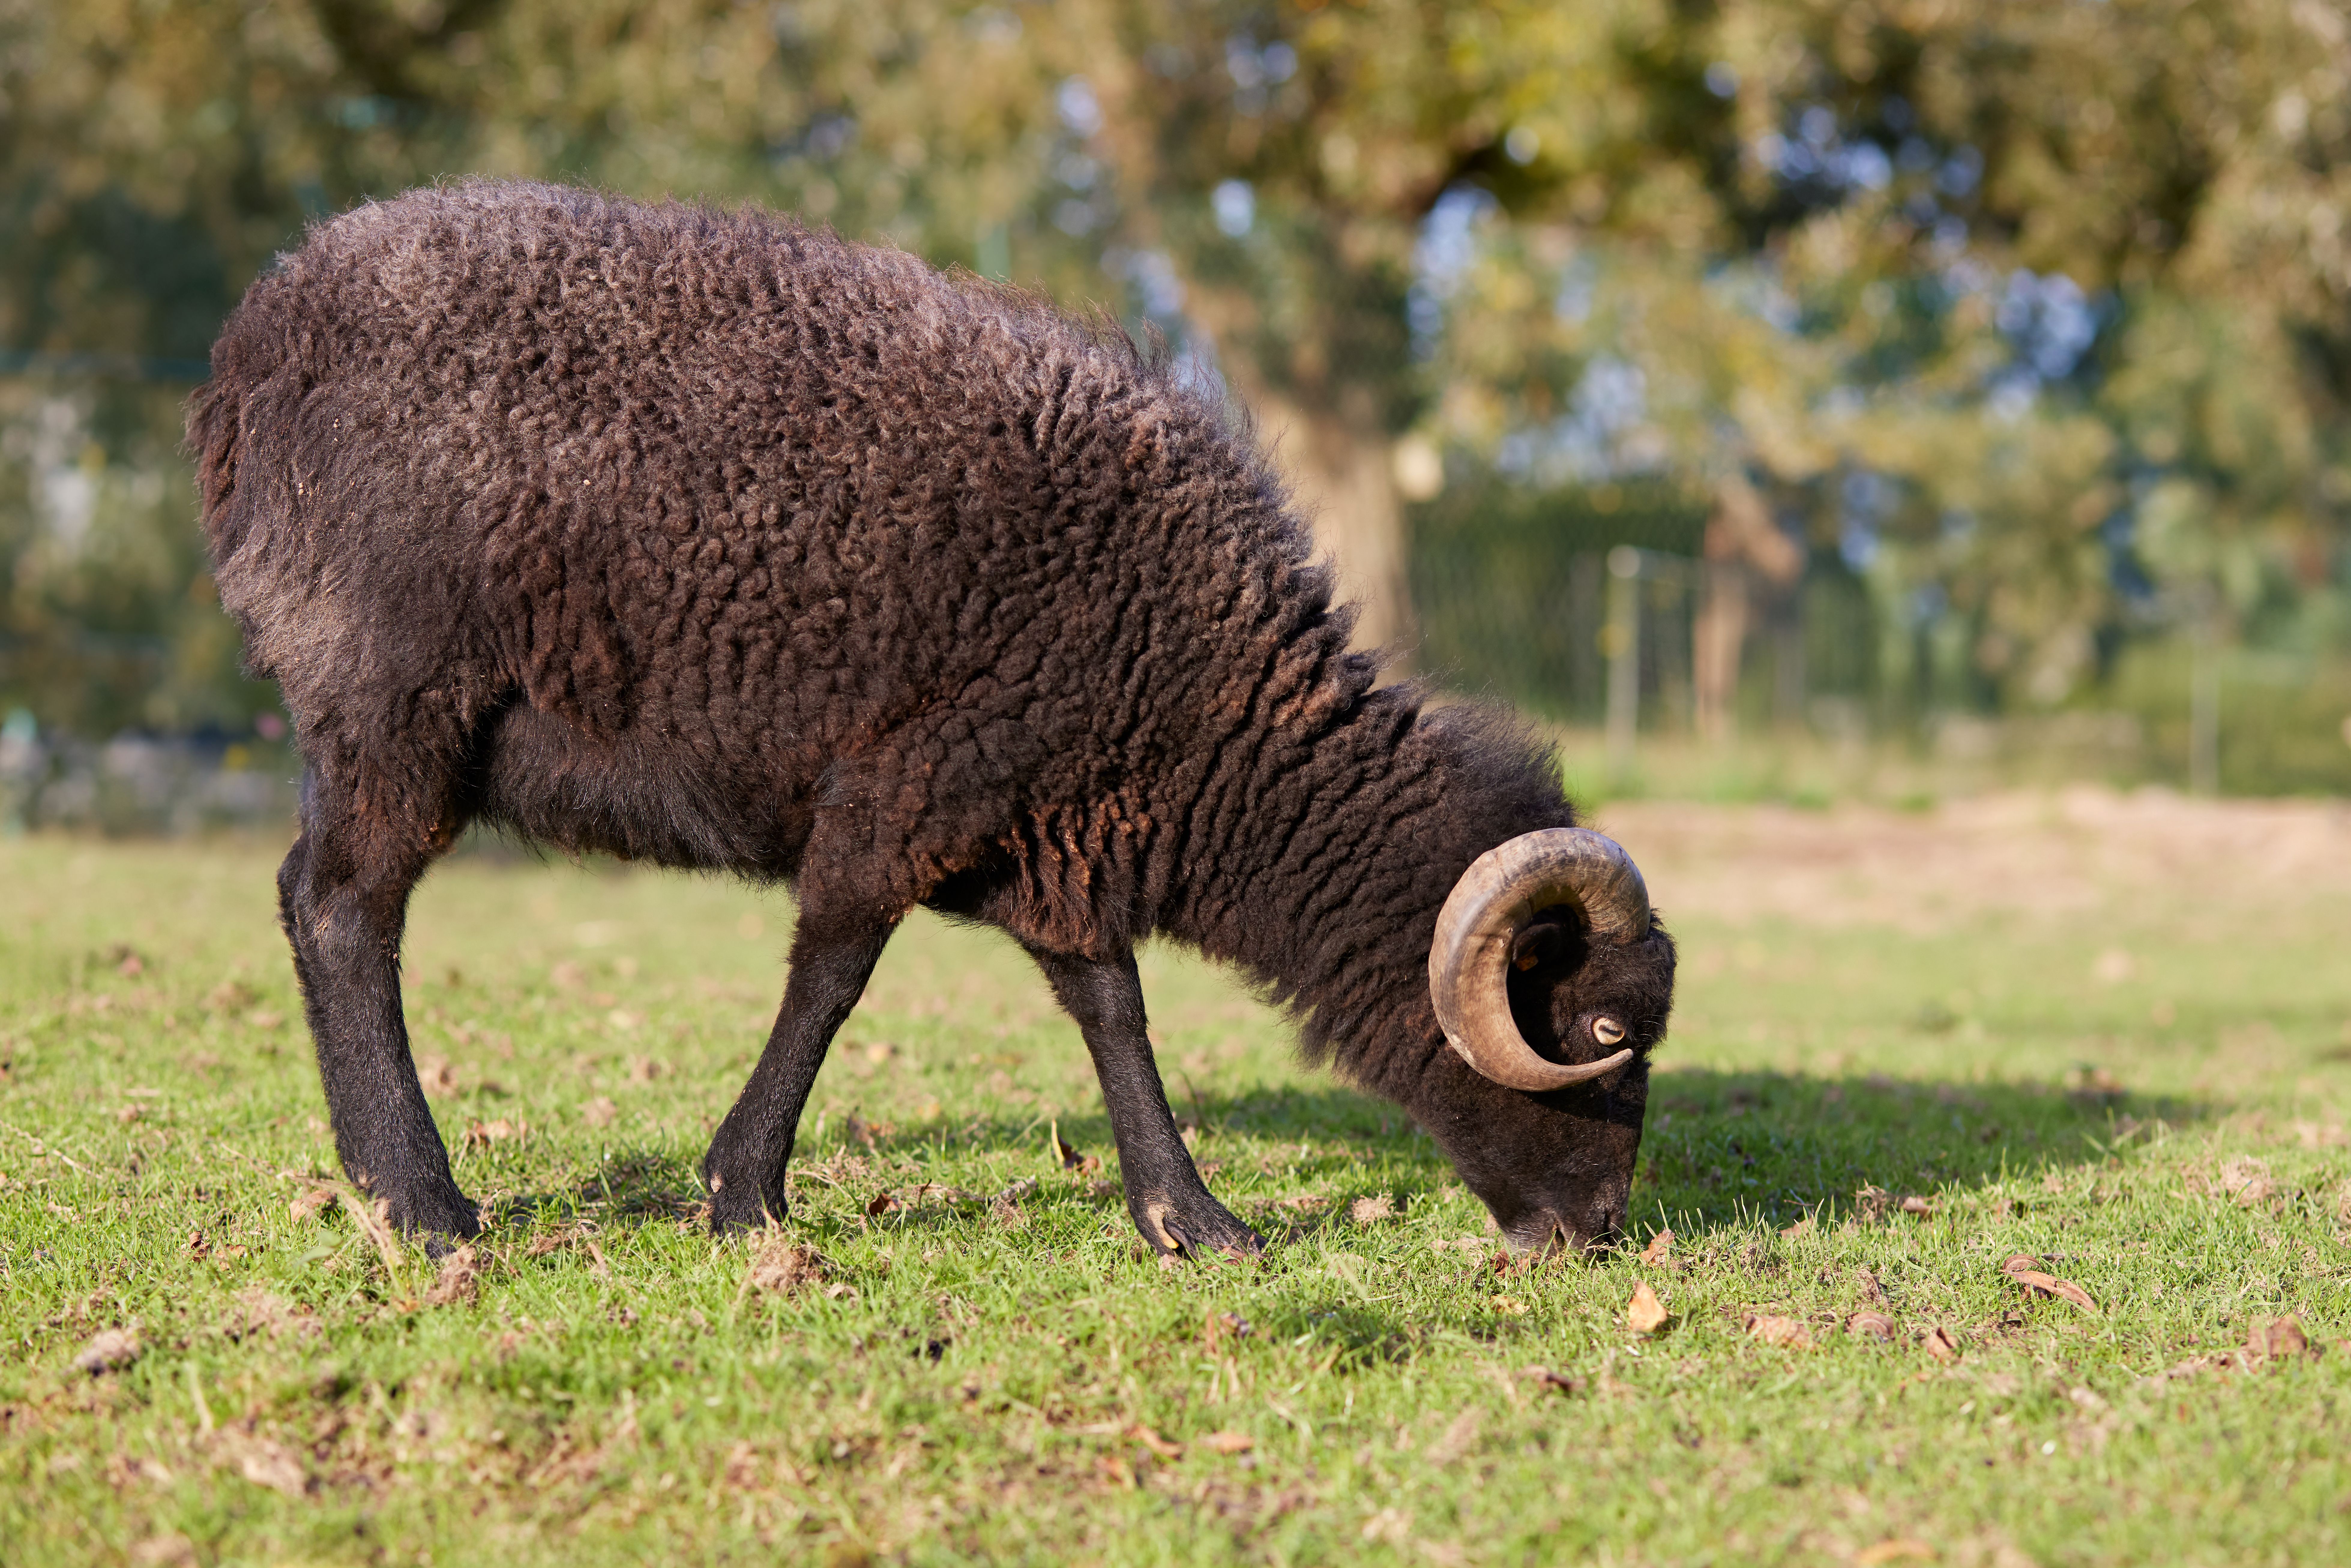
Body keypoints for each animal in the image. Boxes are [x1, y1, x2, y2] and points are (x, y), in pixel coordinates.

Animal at [188, 181, 1676, 1258]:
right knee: (341, 908)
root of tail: (252, 346)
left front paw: (1190, 1219)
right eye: (1601, 1032)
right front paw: (742, 1197)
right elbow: (832, 974)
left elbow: (1110, 1005)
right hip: (394, 692)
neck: (1210, 716)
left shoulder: (1052, 824)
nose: (1598, 1235)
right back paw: (421, 1202)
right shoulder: (911, 785)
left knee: (324, 899)